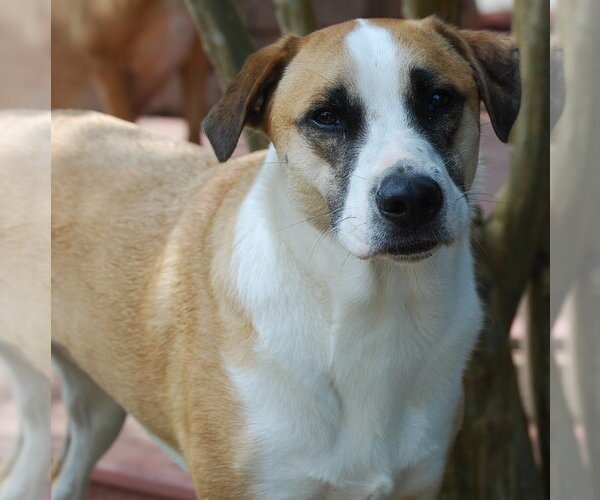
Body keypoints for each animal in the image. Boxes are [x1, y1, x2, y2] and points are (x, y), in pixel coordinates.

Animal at [51, 16, 520, 500]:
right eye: (326, 117)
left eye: (438, 99)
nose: (411, 200)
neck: (375, 313)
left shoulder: (419, 479)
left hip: (98, 412)